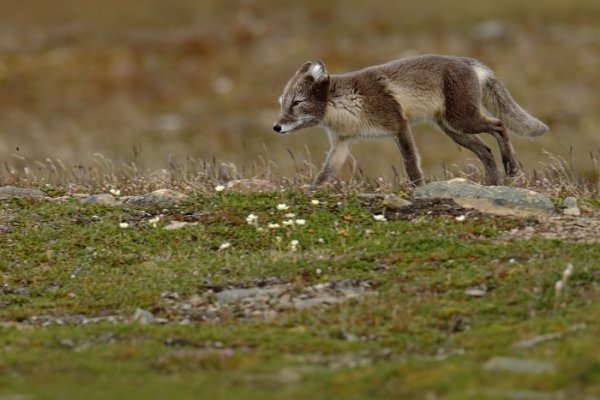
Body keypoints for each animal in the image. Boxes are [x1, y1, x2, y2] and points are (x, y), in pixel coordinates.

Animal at [274, 54, 548, 188]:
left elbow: (410, 163)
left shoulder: (399, 125)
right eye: (282, 103)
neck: (346, 106)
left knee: (499, 126)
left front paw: (418, 189)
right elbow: (326, 171)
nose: (276, 127)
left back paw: (511, 167)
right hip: (452, 129)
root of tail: (467, 61)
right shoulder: (342, 142)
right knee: (486, 150)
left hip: (462, 120)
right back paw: (494, 182)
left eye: (296, 102)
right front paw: (312, 190)